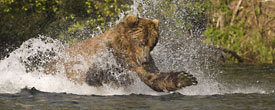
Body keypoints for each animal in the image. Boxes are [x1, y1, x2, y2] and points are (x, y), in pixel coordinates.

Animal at [45, 14, 197, 92]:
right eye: (141, 42)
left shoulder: (137, 62)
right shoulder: (106, 54)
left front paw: (185, 78)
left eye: (152, 44)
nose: (145, 60)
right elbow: (94, 74)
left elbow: (152, 76)